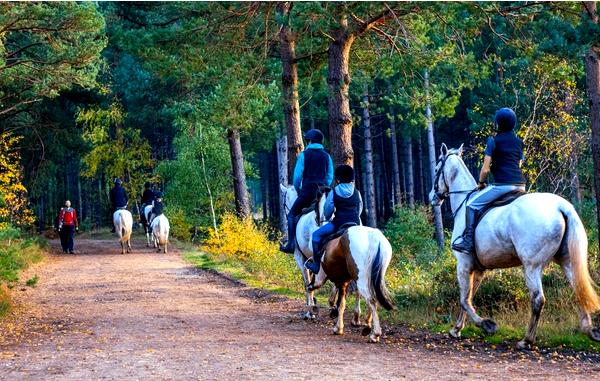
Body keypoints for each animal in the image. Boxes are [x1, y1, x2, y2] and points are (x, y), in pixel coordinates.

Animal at [432, 143, 600, 348]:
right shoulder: (478, 268)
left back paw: (526, 340)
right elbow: (469, 297)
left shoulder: (463, 264)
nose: (433, 198)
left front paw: (486, 325)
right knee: (578, 291)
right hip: (567, 261)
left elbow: (464, 299)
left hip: (532, 266)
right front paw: (456, 329)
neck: (464, 203)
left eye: (436, 169)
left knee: (538, 299)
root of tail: (561, 207)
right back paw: (590, 331)